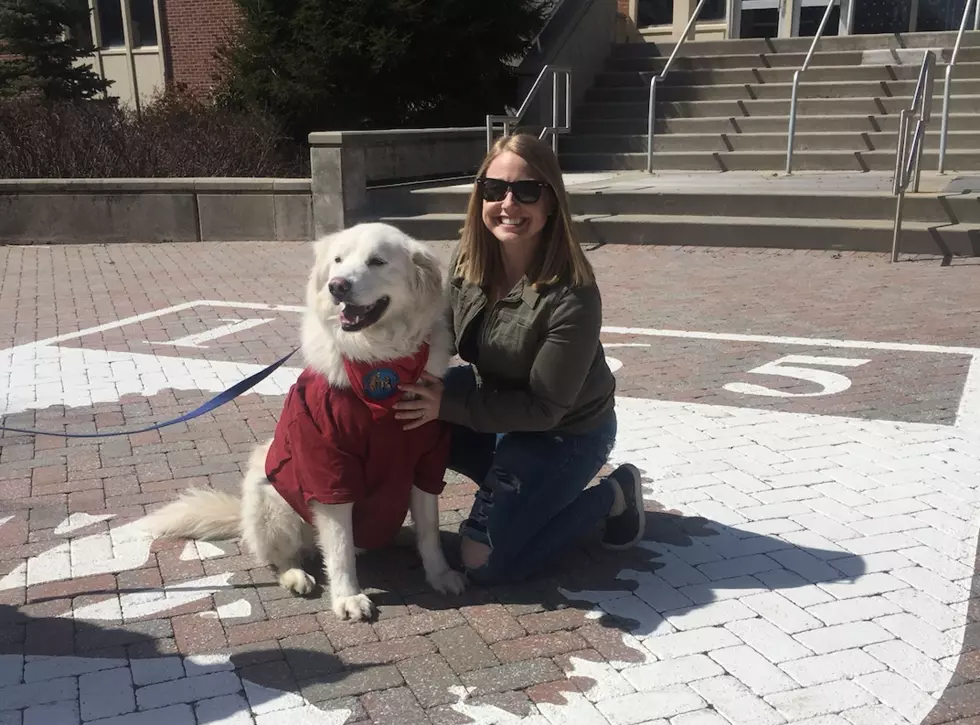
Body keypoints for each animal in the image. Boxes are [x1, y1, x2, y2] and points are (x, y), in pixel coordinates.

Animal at [140, 222, 466, 624]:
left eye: (377, 261)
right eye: (338, 260)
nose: (338, 286)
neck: (377, 364)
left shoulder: (426, 459)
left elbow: (430, 531)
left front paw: (439, 574)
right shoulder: (329, 469)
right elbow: (339, 547)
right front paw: (348, 597)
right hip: (270, 495)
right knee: (283, 557)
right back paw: (296, 575)